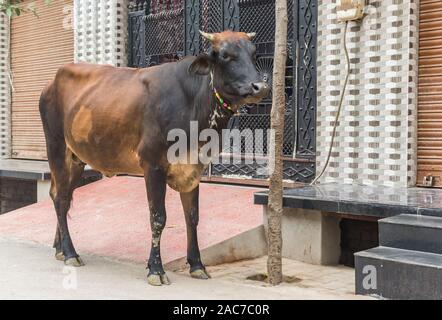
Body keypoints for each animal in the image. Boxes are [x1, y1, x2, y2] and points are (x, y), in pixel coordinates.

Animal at [39, 30, 270, 284]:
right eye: (225, 55)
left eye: (254, 53)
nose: (260, 87)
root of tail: (52, 82)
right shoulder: (153, 165)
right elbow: (158, 217)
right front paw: (156, 270)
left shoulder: (193, 168)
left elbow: (192, 217)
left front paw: (197, 265)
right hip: (56, 148)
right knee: (61, 199)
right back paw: (70, 253)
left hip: (76, 159)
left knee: (61, 195)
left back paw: (60, 249)